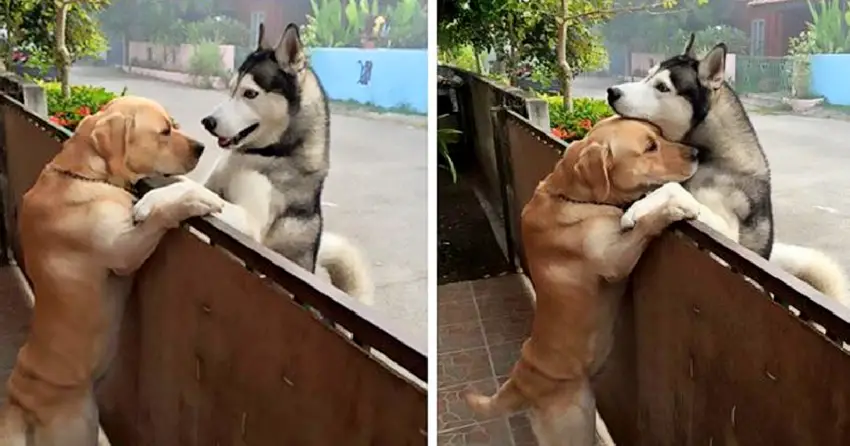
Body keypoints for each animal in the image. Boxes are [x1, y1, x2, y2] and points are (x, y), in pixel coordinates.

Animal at [0, 96, 225, 444]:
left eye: (173, 124)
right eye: (164, 131)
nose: (201, 147)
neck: (82, 174)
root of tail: (19, 404)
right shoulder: (124, 248)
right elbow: (159, 213)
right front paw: (192, 201)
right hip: (79, 426)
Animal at [464, 117, 704, 446]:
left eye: (660, 135)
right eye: (650, 147)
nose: (697, 153)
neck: (575, 196)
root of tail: (521, 382)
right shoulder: (614, 260)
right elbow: (645, 223)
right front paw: (671, 210)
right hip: (576, 424)